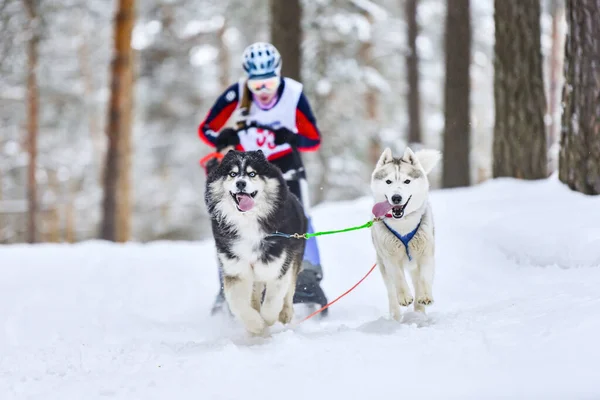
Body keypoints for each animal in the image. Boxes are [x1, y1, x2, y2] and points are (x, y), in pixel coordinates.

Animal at [206, 150, 308, 334]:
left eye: (252, 174)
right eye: (232, 174)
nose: (240, 183)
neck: (248, 221)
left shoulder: (277, 267)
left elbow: (271, 303)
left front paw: (267, 321)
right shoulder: (235, 270)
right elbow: (238, 305)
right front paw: (256, 325)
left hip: (293, 257)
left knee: (289, 290)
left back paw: (285, 313)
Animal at [368, 148, 442, 322]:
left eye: (407, 181)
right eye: (388, 182)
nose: (396, 197)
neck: (403, 224)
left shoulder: (426, 254)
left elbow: (424, 278)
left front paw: (425, 296)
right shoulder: (390, 258)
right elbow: (399, 278)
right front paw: (404, 297)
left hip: (414, 265)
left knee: (417, 282)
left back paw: (419, 313)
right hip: (383, 266)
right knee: (391, 293)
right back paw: (396, 317)